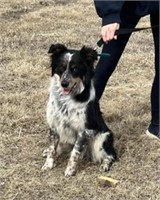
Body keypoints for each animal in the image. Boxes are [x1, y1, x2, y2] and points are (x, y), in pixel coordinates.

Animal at [41, 44, 116, 177]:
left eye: (75, 69)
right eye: (61, 67)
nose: (64, 83)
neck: (65, 99)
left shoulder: (83, 130)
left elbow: (74, 152)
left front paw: (70, 170)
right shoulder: (54, 125)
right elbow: (52, 148)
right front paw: (48, 164)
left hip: (102, 139)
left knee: (111, 155)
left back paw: (105, 165)